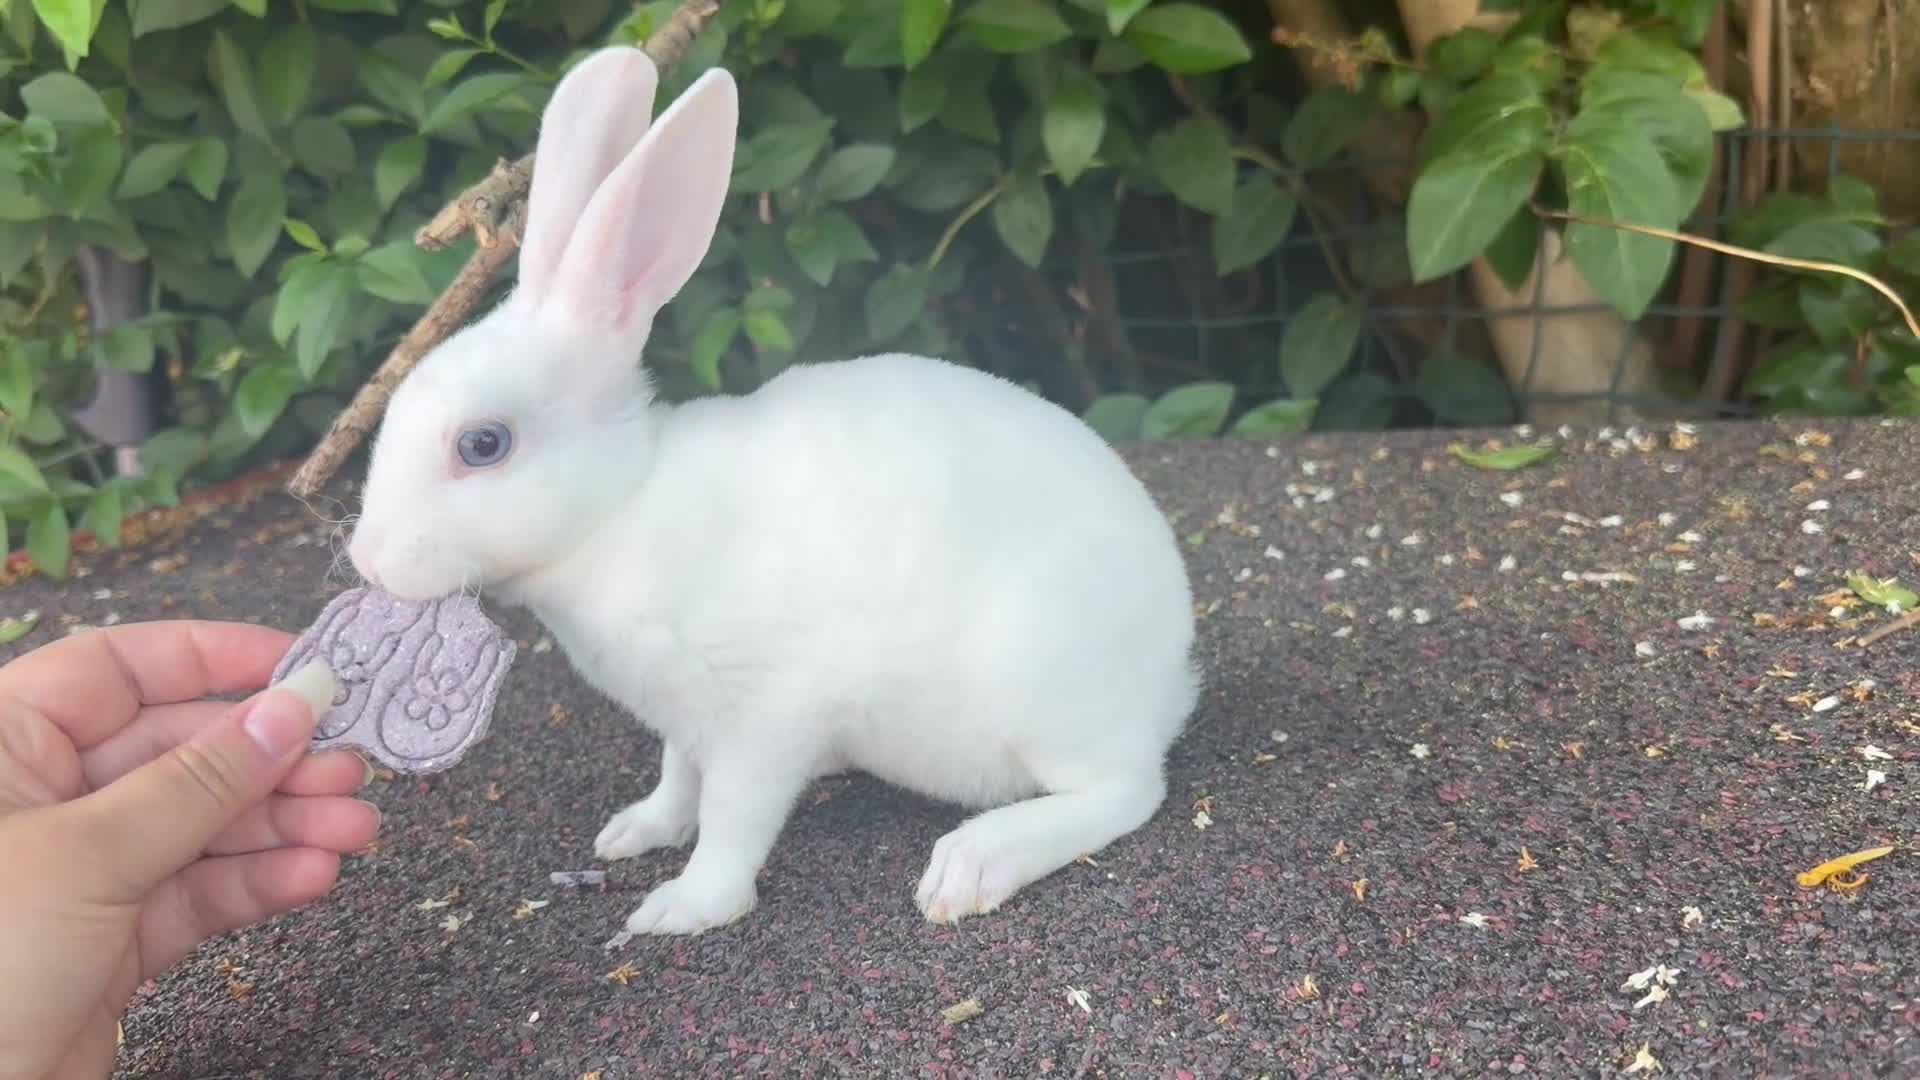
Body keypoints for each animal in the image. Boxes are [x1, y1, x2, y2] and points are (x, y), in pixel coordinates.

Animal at [346, 45, 1201, 936]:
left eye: (483, 445)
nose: (367, 559)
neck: (622, 507)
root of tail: (1169, 675)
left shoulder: (761, 720)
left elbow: (731, 819)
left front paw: (681, 908)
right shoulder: (686, 723)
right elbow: (678, 781)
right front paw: (634, 832)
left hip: (1041, 688)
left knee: (1124, 791)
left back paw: (972, 865)